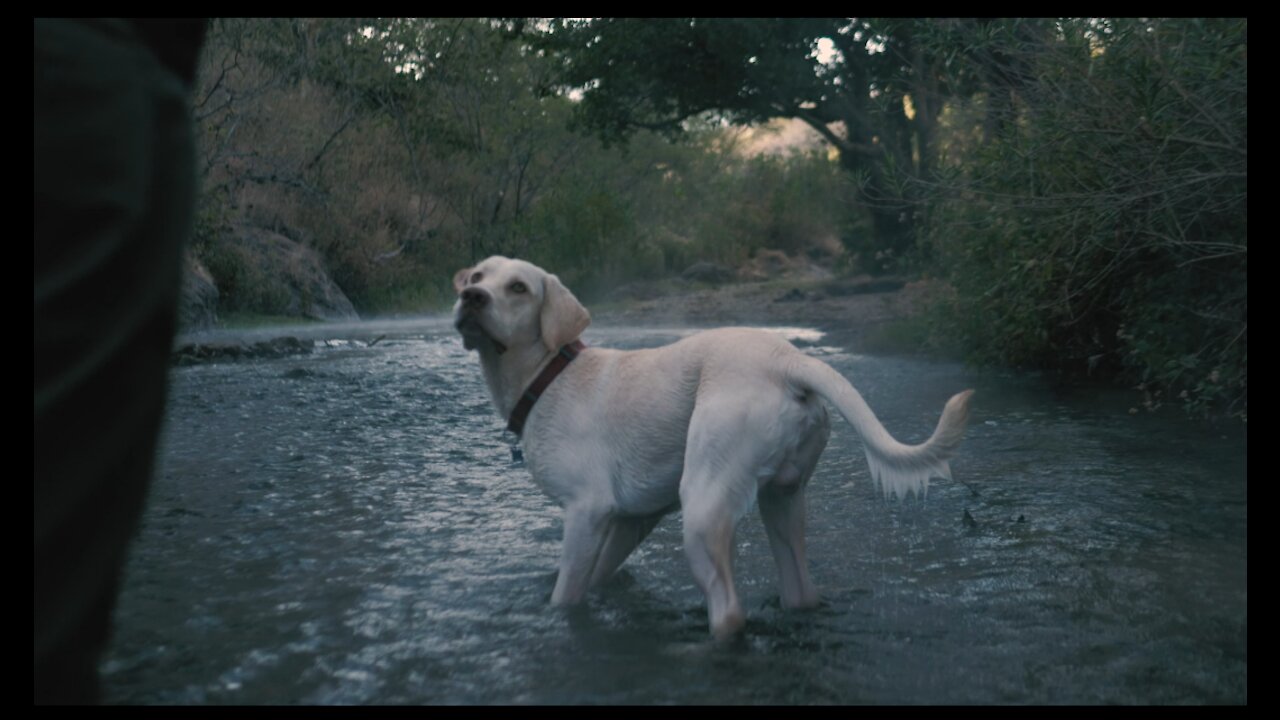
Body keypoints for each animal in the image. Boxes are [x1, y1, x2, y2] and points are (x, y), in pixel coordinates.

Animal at [455, 254, 972, 635]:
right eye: (478, 277)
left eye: (518, 288)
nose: (470, 297)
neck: (548, 376)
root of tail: (788, 360)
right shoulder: (631, 520)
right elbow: (600, 575)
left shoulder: (588, 510)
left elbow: (565, 596)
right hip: (783, 502)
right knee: (800, 592)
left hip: (703, 507)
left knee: (729, 612)